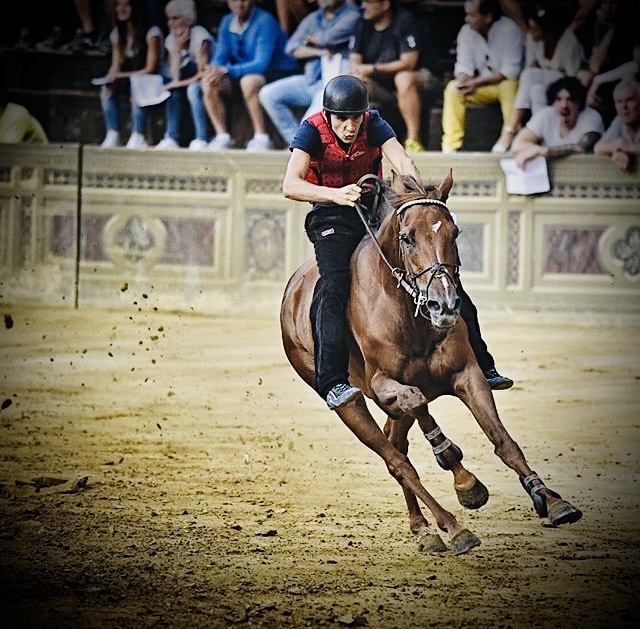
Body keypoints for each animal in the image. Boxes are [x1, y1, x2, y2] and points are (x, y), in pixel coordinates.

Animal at [278, 168, 580, 556]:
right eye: (407, 237)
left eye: (455, 232)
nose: (445, 304)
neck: (409, 315)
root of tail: (292, 291)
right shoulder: (385, 385)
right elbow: (419, 405)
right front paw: (463, 479)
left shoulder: (468, 375)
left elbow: (503, 440)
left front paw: (551, 499)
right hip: (350, 403)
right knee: (397, 460)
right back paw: (453, 527)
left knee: (399, 447)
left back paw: (424, 529)